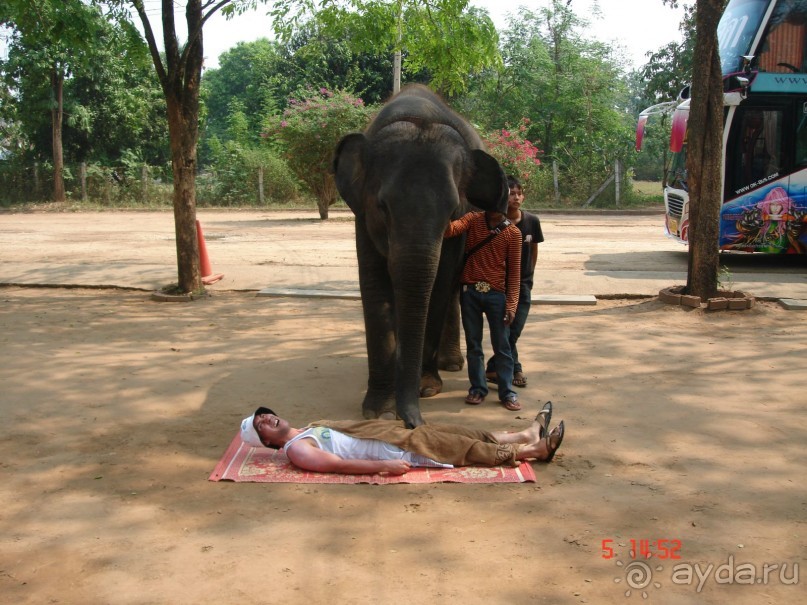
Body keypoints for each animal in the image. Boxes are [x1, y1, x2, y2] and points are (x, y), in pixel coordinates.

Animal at [332, 85, 508, 428]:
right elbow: (374, 286)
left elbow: (438, 283)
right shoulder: (363, 217)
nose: (413, 422)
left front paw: (426, 388)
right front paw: (379, 411)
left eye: (452, 210)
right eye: (382, 207)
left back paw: (450, 364)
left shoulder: (460, 225)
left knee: (450, 291)